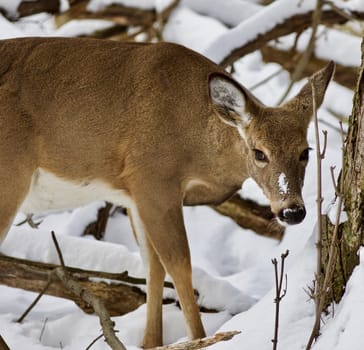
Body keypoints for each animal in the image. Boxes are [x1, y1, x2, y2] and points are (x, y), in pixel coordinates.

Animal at [0, 37, 336, 346]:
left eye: (305, 151)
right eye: (259, 153)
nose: (292, 211)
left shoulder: (133, 193)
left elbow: (153, 267)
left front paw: (151, 342)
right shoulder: (153, 178)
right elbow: (179, 264)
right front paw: (200, 339)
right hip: (11, 172)